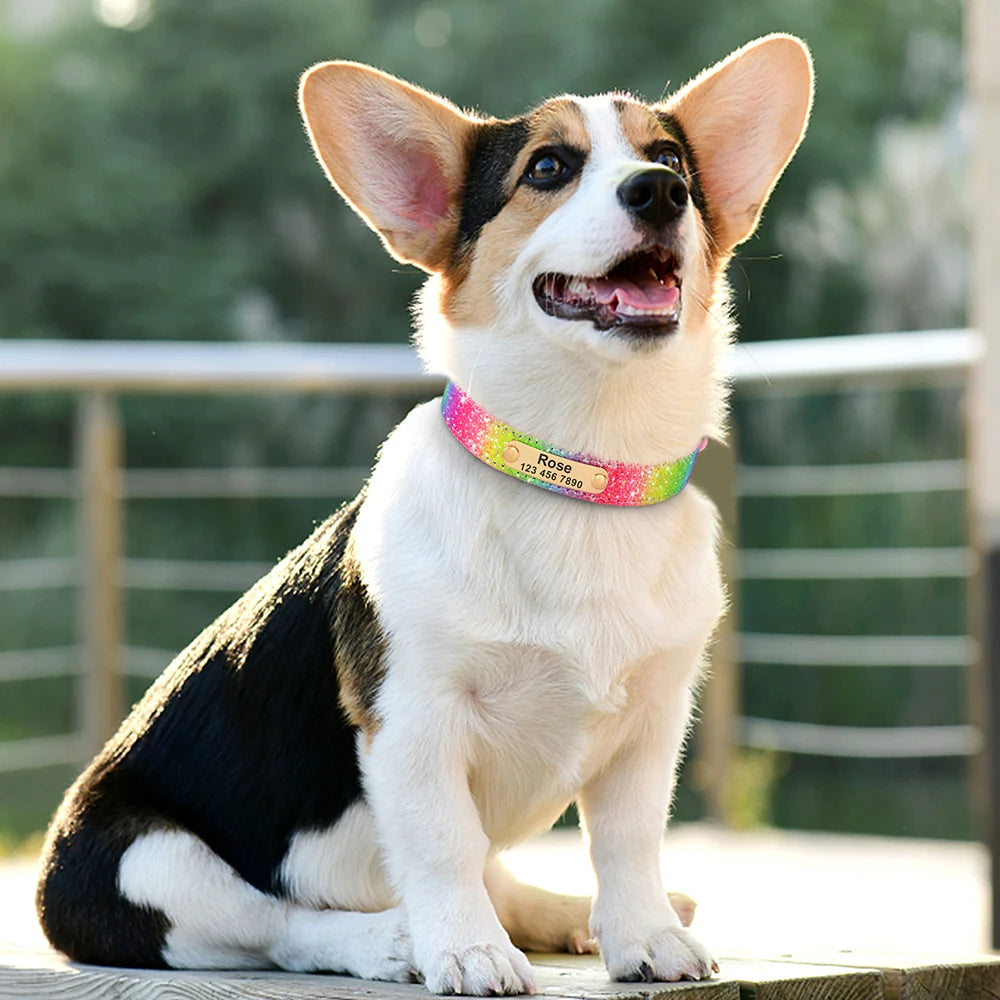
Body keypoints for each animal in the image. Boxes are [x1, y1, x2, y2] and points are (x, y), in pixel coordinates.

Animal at [35, 35, 812, 996]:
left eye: (669, 160)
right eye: (548, 167)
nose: (658, 192)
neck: (581, 470)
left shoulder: (652, 720)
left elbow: (628, 839)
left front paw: (646, 936)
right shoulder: (412, 716)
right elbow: (442, 844)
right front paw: (466, 951)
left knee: (496, 874)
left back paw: (564, 915)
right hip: (142, 860)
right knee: (280, 925)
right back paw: (394, 941)